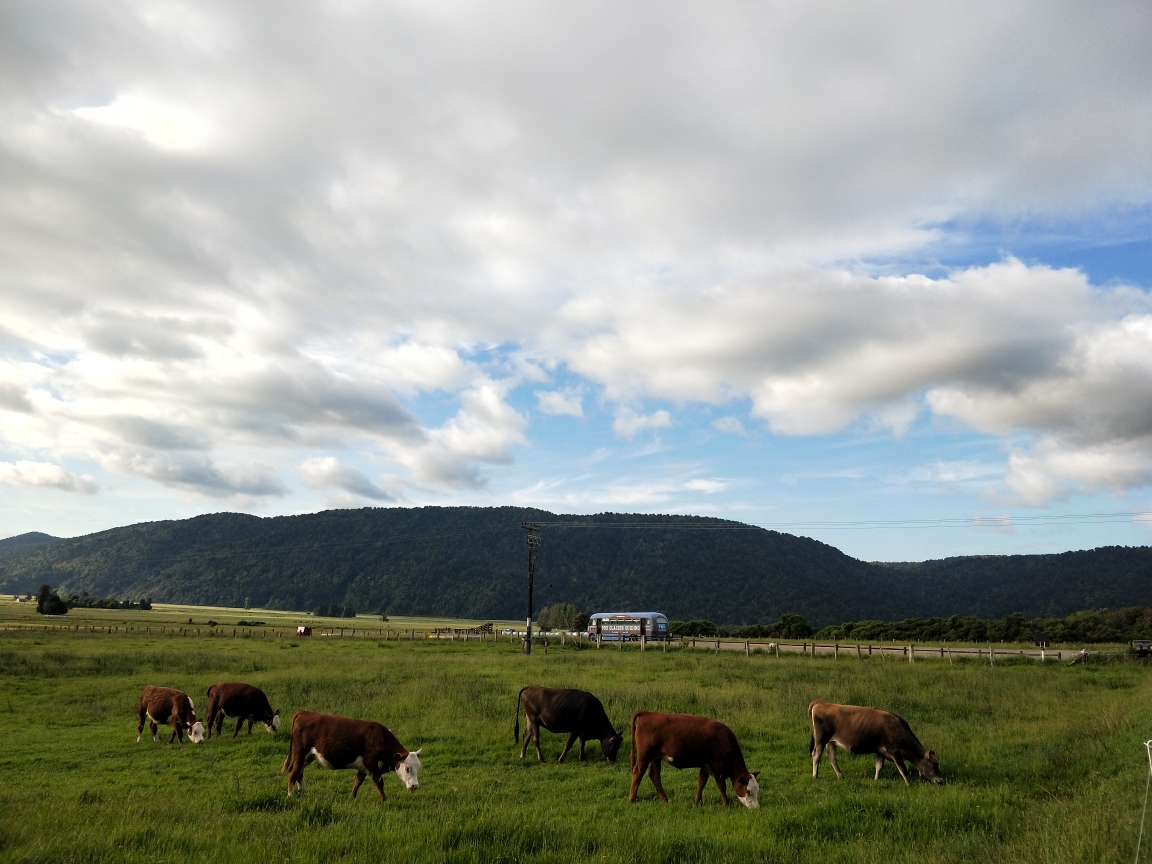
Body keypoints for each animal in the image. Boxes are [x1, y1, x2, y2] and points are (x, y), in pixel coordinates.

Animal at [281, 709, 421, 806]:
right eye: (407, 768)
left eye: (418, 768)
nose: (415, 786)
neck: (379, 738)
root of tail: (303, 712)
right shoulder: (371, 764)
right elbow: (379, 783)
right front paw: (384, 800)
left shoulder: (363, 767)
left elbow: (357, 782)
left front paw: (351, 798)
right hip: (301, 753)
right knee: (293, 771)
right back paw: (290, 795)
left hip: (308, 756)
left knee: (299, 772)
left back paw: (302, 793)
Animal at [626, 714, 760, 811]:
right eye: (748, 791)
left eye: (757, 790)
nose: (756, 808)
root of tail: (648, 713)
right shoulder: (716, 768)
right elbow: (722, 786)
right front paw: (726, 804)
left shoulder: (705, 766)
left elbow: (701, 783)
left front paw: (697, 802)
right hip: (645, 756)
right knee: (638, 773)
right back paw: (632, 799)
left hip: (655, 757)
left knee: (654, 776)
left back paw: (665, 800)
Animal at [811, 700, 944, 787]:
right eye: (934, 764)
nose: (941, 780)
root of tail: (821, 703)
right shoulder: (895, 752)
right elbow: (902, 769)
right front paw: (908, 783)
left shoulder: (881, 751)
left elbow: (879, 766)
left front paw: (875, 780)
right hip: (821, 740)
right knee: (816, 755)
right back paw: (815, 775)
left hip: (831, 742)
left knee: (832, 757)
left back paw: (840, 776)